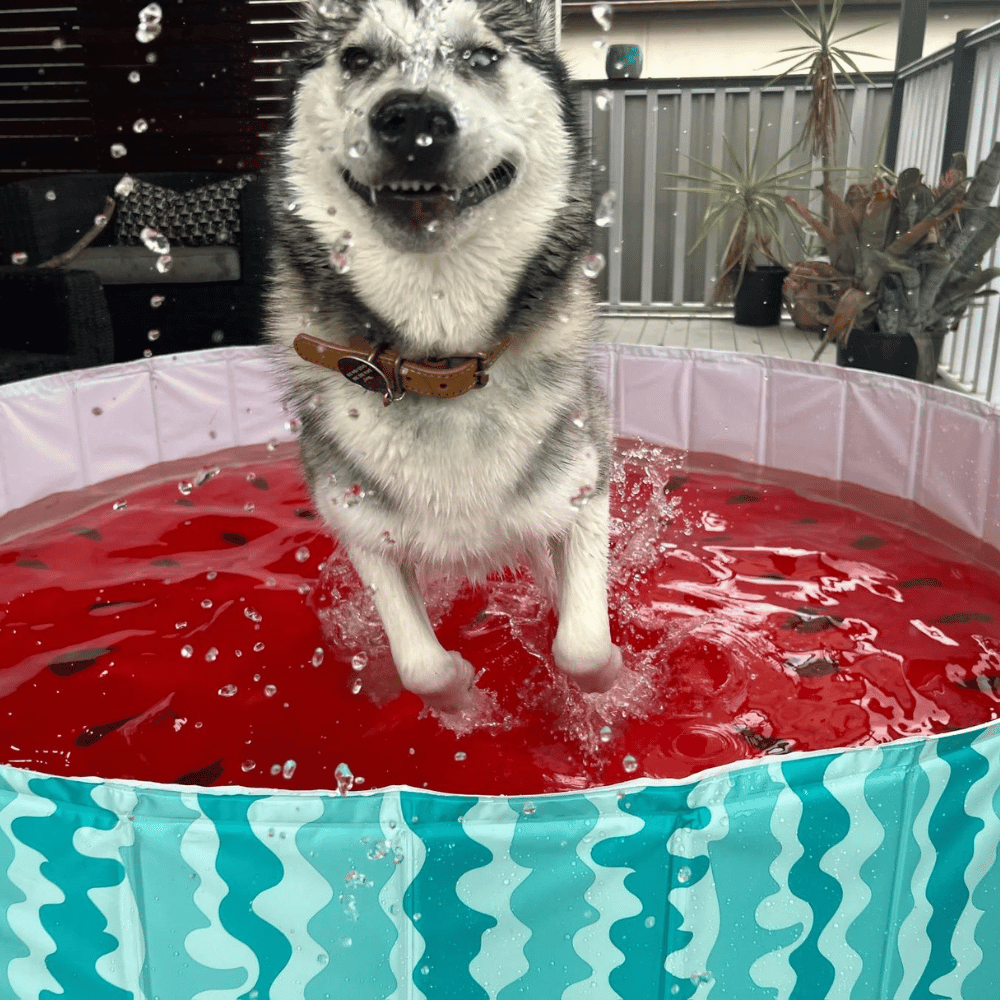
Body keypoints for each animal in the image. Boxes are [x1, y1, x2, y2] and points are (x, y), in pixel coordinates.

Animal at [266, 0, 624, 712]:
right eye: (356, 57)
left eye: (483, 56)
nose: (412, 117)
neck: (441, 365)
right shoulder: (359, 521)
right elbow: (420, 667)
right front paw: (461, 699)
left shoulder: (583, 484)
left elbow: (582, 647)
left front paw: (613, 684)